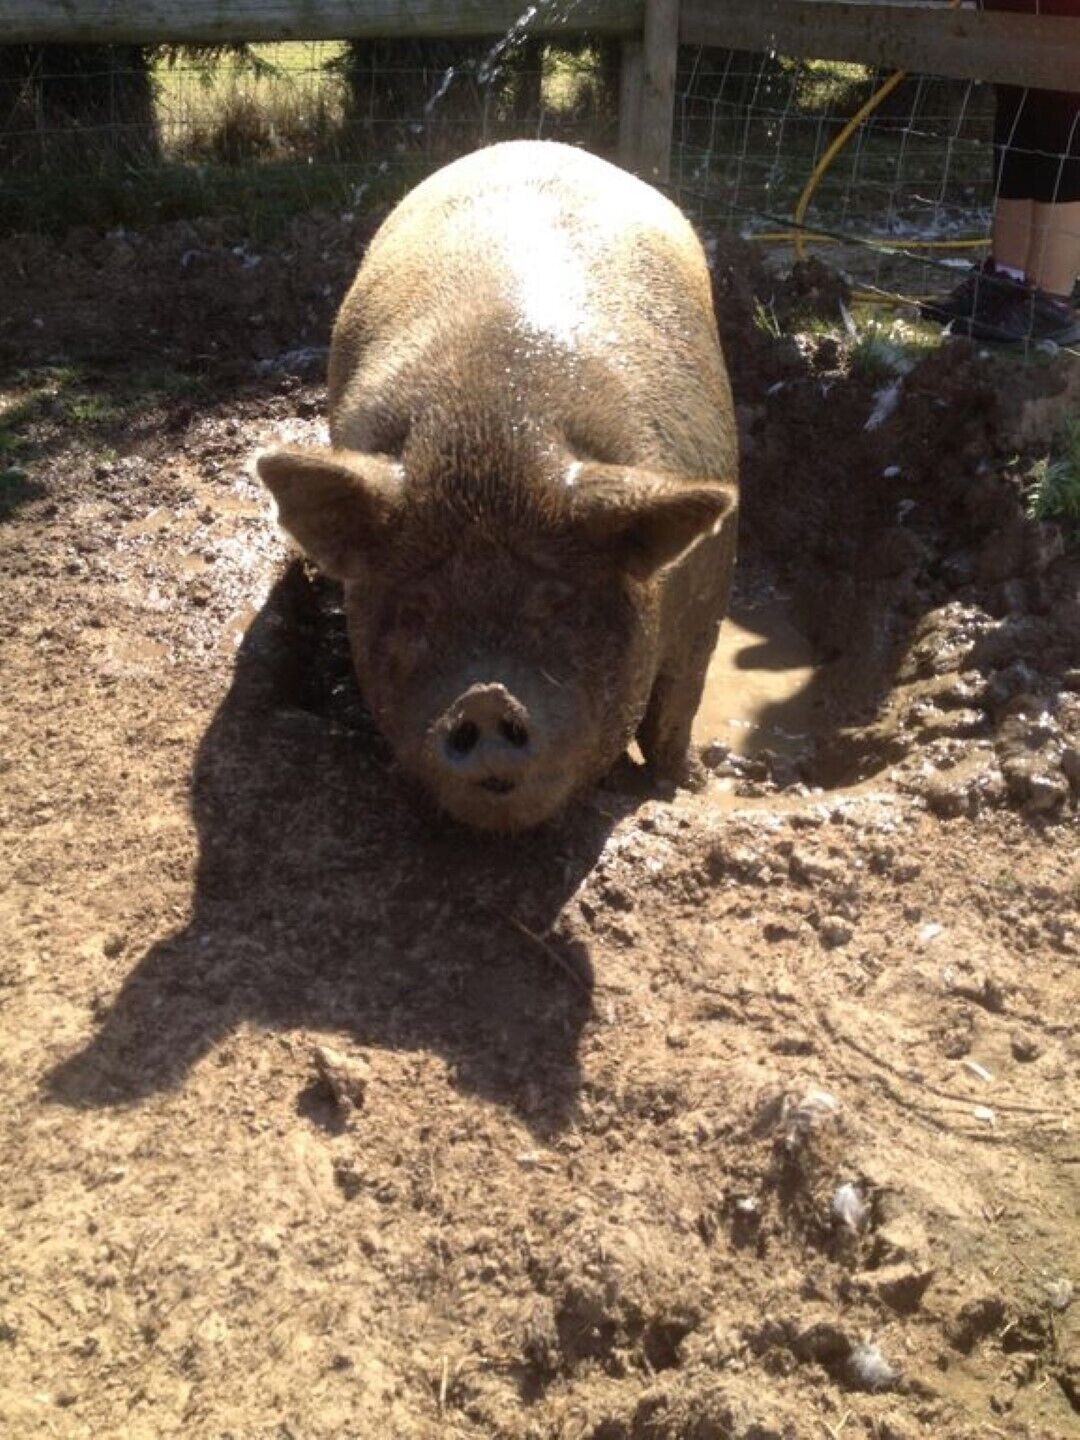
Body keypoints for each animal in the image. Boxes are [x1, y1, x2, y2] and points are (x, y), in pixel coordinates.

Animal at [258, 139, 737, 831]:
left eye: (556, 603)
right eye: (417, 608)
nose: (485, 699)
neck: (496, 423)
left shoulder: (710, 596)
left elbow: (676, 709)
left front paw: (688, 784)